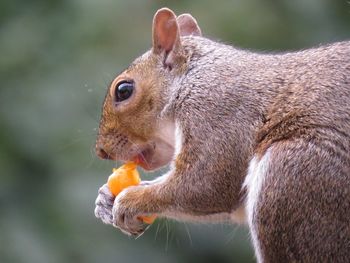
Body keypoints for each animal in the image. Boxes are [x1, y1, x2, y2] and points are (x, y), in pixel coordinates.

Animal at [94, 7, 350, 262]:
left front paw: (130, 200)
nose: (101, 151)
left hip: (292, 177)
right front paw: (105, 199)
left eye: (124, 90)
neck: (190, 79)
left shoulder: (217, 112)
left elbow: (206, 184)